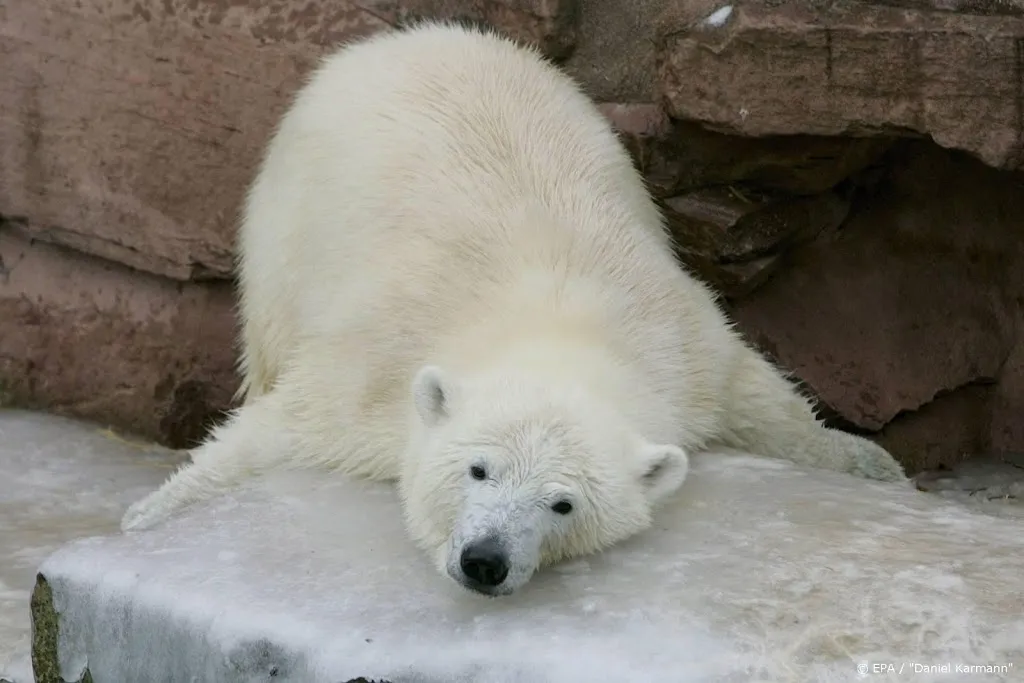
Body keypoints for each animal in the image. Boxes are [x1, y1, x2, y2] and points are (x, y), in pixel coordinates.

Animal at [125, 20, 905, 598]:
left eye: (562, 503)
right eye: (478, 470)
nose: (485, 560)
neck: (551, 318)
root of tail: (408, 35)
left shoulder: (679, 342)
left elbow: (758, 393)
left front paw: (870, 462)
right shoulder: (375, 361)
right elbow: (286, 423)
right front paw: (151, 512)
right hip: (287, 215)